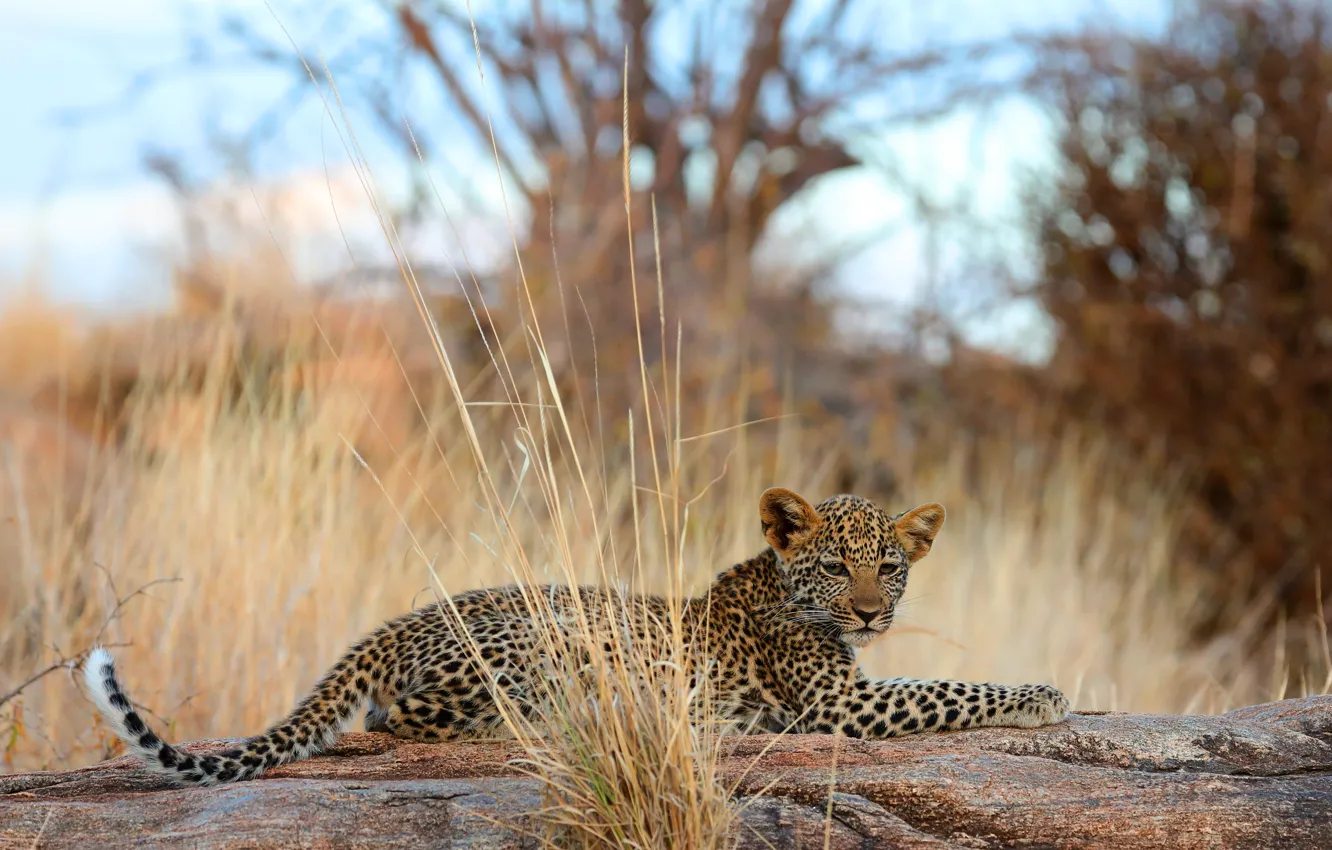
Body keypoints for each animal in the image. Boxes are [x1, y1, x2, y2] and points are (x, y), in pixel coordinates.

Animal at [85, 487, 1070, 786]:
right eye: (835, 567)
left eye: (891, 568)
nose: (870, 612)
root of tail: (393, 625)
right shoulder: (839, 706)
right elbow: (954, 690)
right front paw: (1046, 695)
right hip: (542, 638)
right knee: (400, 722)